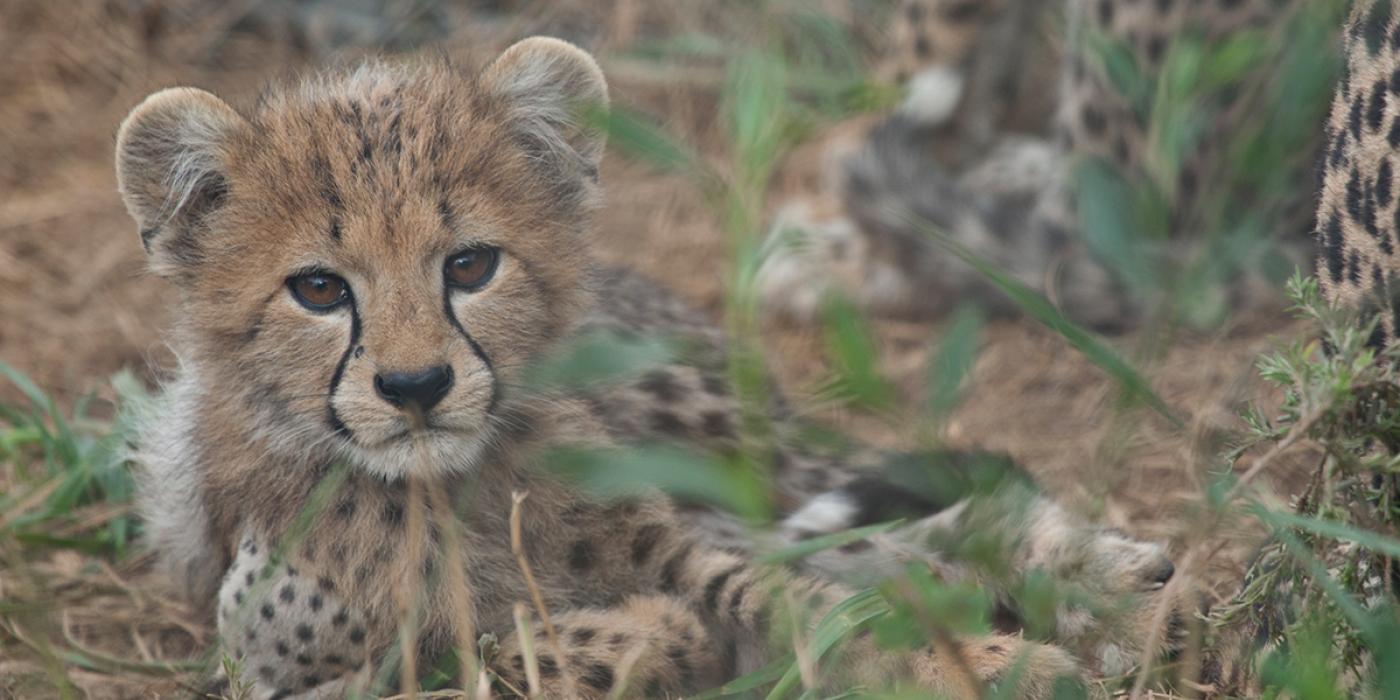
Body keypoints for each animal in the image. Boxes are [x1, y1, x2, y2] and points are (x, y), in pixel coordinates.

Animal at [114, 36, 1176, 694]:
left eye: (469, 266)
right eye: (319, 290)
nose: (415, 389)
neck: (445, 492)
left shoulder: (674, 542)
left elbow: (804, 602)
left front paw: (987, 667)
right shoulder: (268, 674)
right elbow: (470, 655)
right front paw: (643, 639)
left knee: (914, 520)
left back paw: (1112, 588)